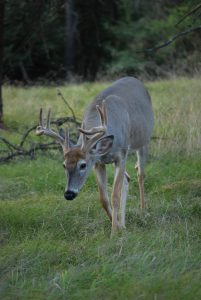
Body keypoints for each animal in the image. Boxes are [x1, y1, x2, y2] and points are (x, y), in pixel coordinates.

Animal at [35, 76, 154, 233]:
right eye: (64, 165)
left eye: (83, 165)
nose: (69, 194)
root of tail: (136, 80)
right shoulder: (98, 162)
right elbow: (103, 199)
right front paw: (118, 226)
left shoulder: (121, 155)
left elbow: (114, 196)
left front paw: (114, 232)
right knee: (127, 178)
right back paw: (124, 224)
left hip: (143, 140)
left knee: (140, 174)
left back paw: (143, 210)